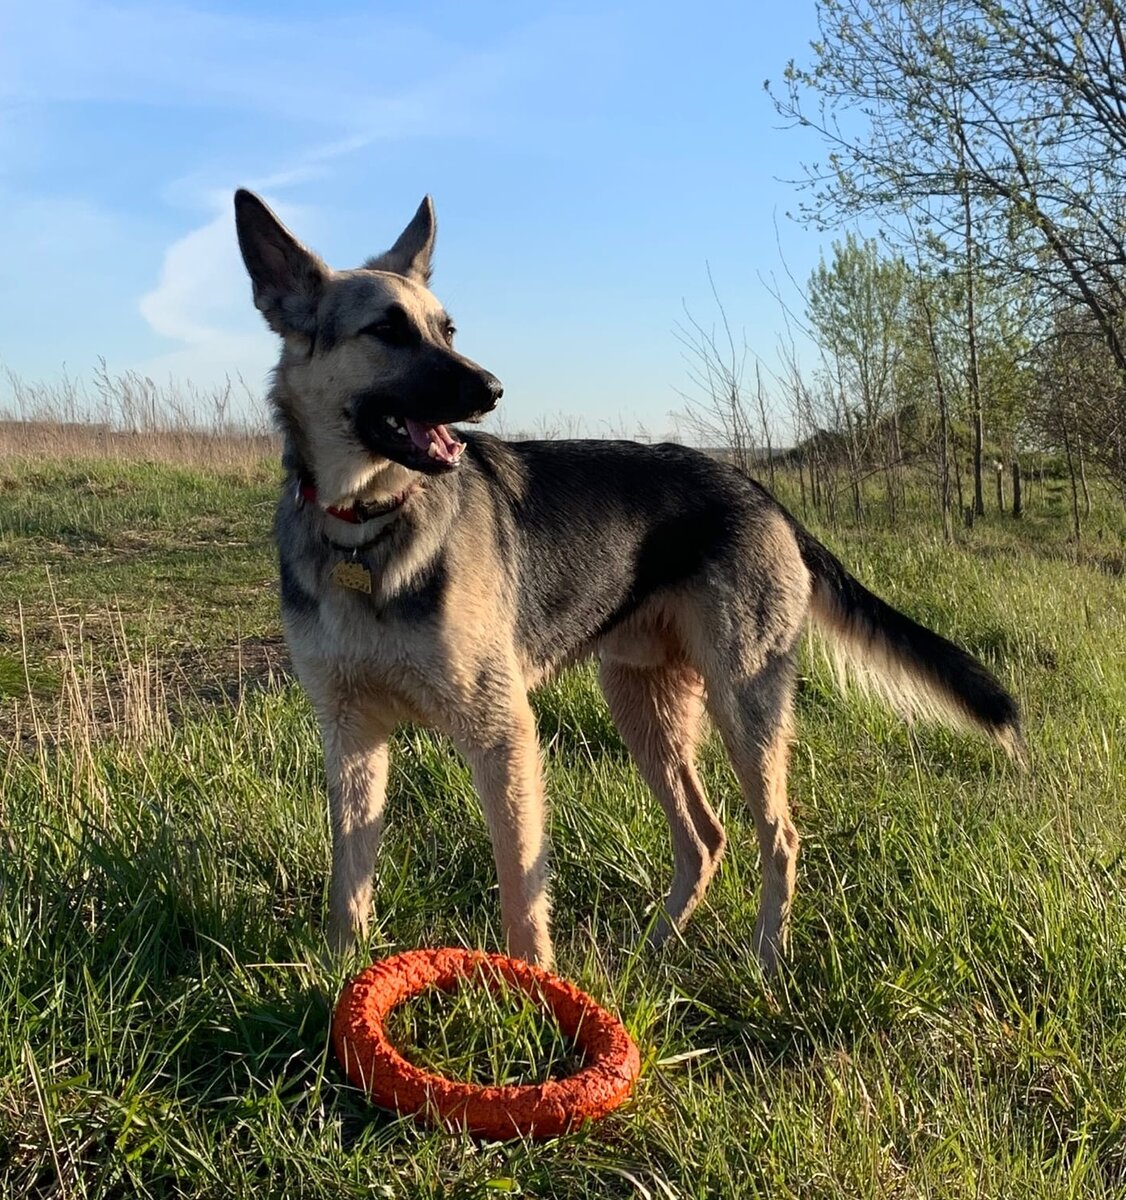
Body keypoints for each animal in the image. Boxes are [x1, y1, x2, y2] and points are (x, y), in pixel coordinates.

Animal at [232, 189, 1022, 974]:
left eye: (447, 329)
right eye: (387, 331)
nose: (491, 389)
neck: (365, 530)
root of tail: (760, 492)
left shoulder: (502, 732)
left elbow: (521, 887)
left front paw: (531, 989)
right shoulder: (352, 734)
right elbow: (349, 878)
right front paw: (342, 974)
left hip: (744, 707)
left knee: (779, 837)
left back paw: (766, 961)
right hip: (643, 706)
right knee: (705, 836)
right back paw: (655, 949)